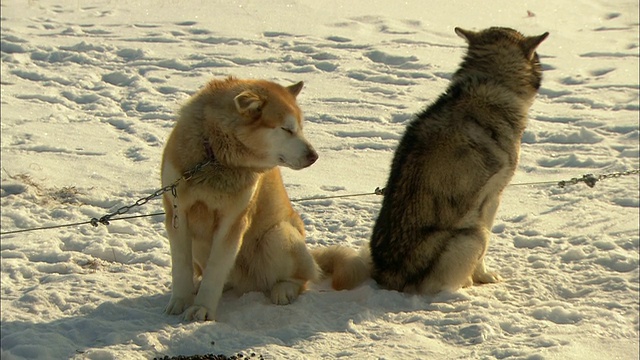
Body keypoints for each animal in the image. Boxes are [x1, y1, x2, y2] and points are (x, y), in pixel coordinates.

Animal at [162, 77, 368, 322]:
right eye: (287, 129)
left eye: (300, 128)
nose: (314, 156)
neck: (214, 156)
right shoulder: (177, 215)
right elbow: (181, 267)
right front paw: (180, 300)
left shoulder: (233, 221)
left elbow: (215, 270)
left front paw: (202, 307)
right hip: (201, 243)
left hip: (277, 236)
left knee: (301, 279)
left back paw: (284, 289)